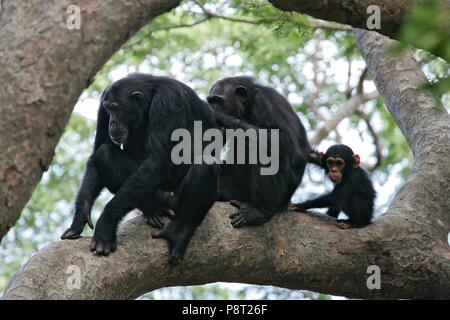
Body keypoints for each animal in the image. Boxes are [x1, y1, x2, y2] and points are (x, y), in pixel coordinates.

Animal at [62, 73, 220, 264]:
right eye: (109, 110)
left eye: (117, 109)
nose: (112, 122)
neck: (150, 97)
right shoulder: (102, 104)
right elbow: (99, 147)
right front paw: (80, 216)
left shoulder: (168, 101)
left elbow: (157, 159)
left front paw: (105, 225)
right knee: (106, 153)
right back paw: (152, 208)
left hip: (176, 197)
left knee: (204, 165)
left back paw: (178, 233)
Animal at [207, 77, 310, 228]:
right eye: (211, 101)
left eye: (218, 101)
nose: (212, 107)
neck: (248, 107)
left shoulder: (266, 104)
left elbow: (283, 140)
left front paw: (219, 115)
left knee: (263, 151)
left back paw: (258, 211)